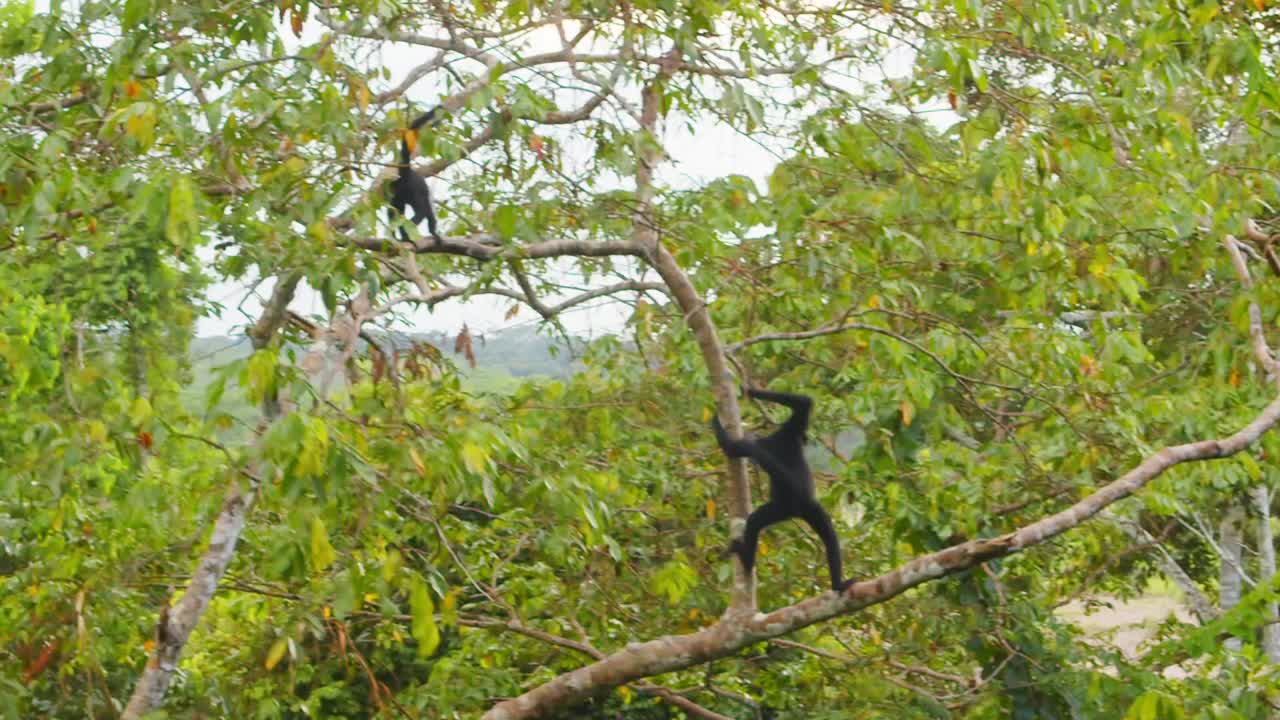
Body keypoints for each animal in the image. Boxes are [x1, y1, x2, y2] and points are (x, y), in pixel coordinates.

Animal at [712, 388, 853, 593]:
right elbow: (804, 402)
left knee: (755, 520)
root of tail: (799, 507)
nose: (806, 438)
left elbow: (733, 449)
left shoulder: (780, 435)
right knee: (829, 535)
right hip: (807, 509)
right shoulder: (790, 430)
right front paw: (749, 391)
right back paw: (838, 585)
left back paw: (746, 561)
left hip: (779, 508)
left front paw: (747, 391)